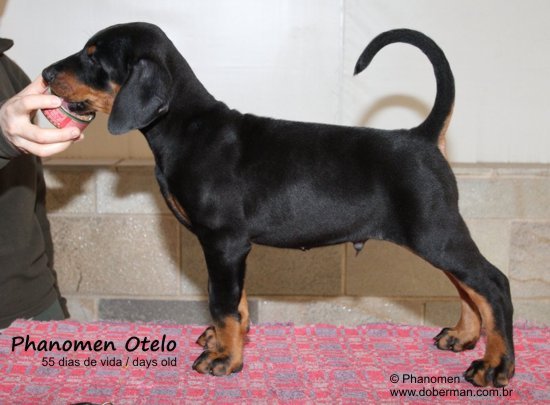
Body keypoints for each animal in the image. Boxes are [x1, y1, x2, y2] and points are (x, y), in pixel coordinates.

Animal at [42, 22, 514, 387]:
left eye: (93, 57)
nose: (46, 72)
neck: (186, 126)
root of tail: (422, 136)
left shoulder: (224, 241)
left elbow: (222, 302)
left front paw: (224, 359)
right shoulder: (230, 248)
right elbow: (236, 301)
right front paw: (226, 342)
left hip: (435, 231)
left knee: (492, 283)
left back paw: (495, 365)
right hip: (435, 234)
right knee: (468, 286)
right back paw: (463, 336)